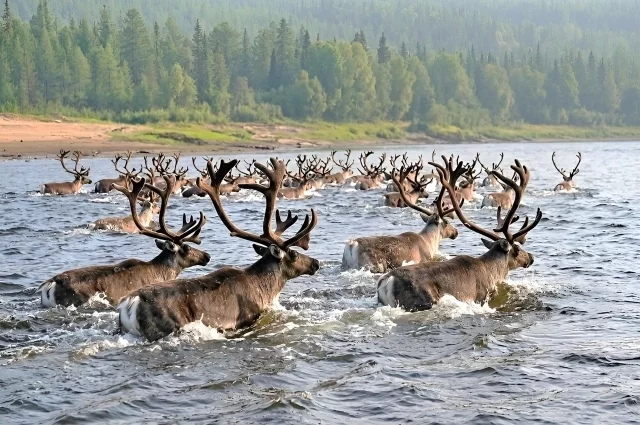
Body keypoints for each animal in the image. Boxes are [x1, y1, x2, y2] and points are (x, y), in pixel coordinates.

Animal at [117, 158, 320, 342]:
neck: (263, 288)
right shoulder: (248, 318)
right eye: (294, 253)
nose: (316, 262)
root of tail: (129, 304)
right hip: (164, 327)